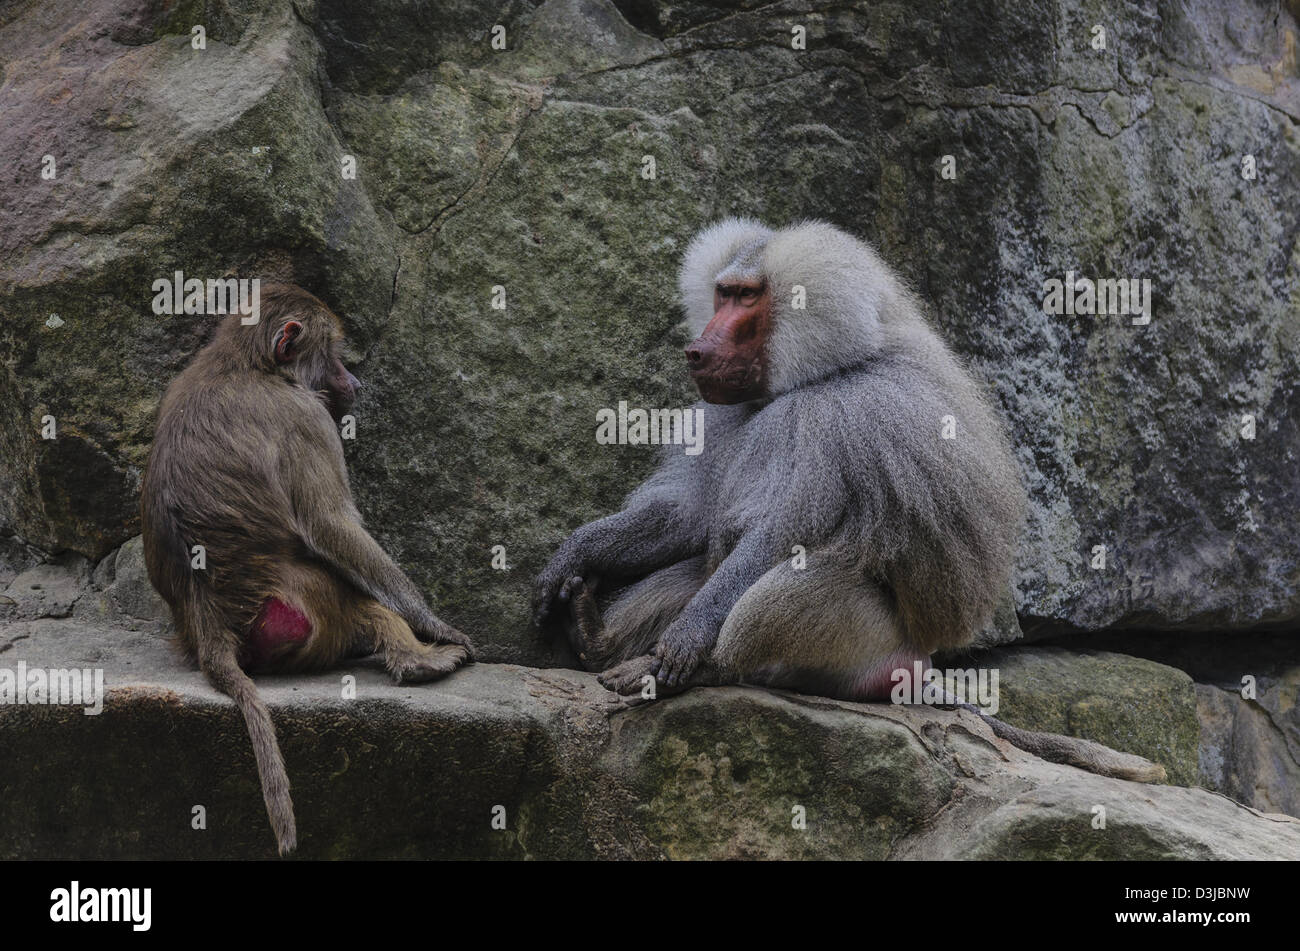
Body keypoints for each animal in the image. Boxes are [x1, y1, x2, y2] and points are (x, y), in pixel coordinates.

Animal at [141, 283, 474, 855]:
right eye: (334, 354)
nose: (354, 381)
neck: (246, 363)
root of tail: (207, 616)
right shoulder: (305, 416)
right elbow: (330, 523)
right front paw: (435, 625)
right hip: (312, 608)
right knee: (361, 603)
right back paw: (418, 660)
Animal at [534, 219, 1164, 784]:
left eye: (747, 298)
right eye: (722, 292)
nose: (696, 350)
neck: (817, 371)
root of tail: (918, 665)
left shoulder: (834, 419)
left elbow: (782, 533)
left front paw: (685, 642)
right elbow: (685, 518)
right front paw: (571, 557)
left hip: (870, 635)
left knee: (780, 593)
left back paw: (685, 669)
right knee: (696, 571)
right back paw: (597, 639)